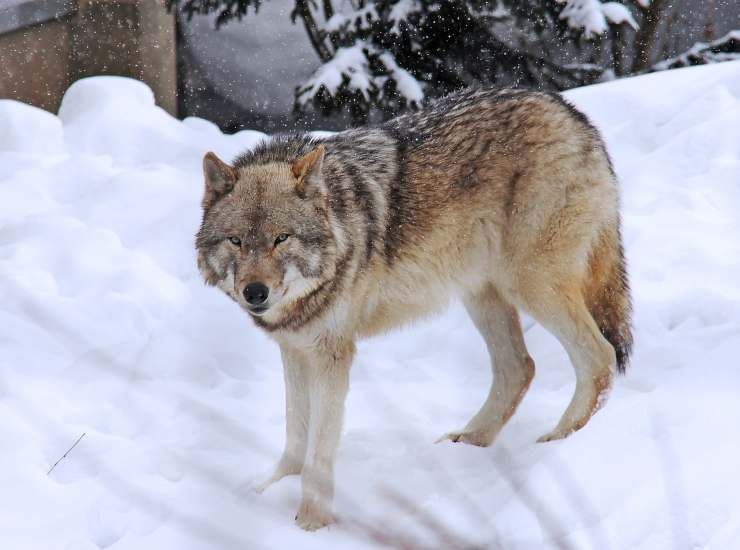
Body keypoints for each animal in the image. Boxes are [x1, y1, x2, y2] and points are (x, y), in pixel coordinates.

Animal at [195, 87, 632, 536]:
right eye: (236, 241)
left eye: (281, 239)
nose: (255, 293)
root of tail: (571, 113)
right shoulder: (295, 349)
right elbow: (296, 433)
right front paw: (271, 491)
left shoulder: (332, 354)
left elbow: (320, 444)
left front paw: (311, 523)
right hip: (482, 294)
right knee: (520, 367)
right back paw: (471, 440)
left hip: (530, 285)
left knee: (598, 357)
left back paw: (561, 442)